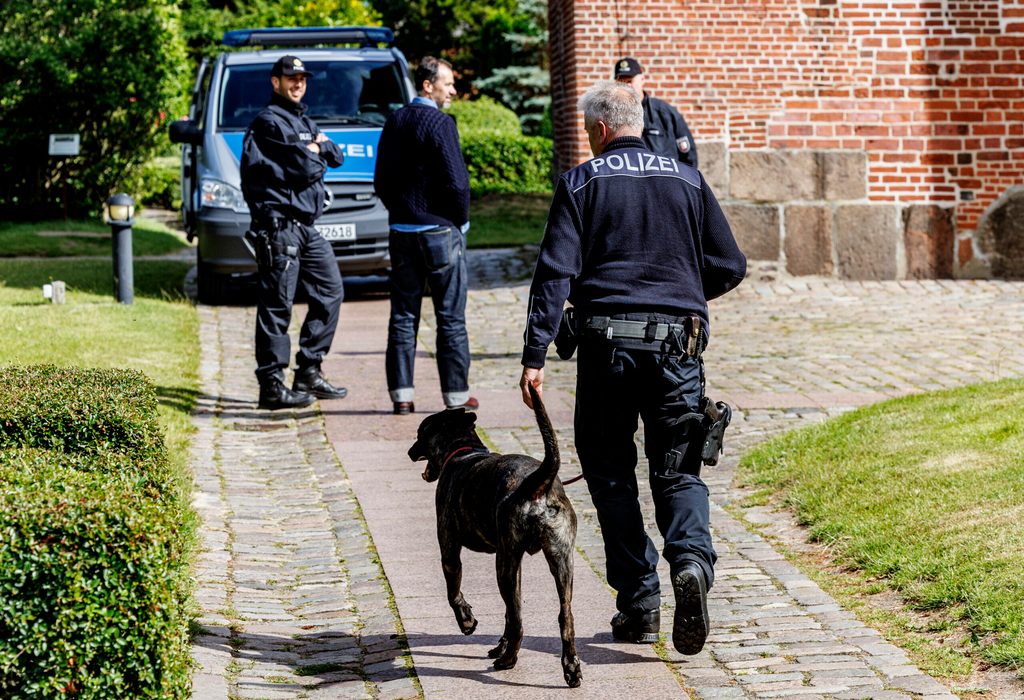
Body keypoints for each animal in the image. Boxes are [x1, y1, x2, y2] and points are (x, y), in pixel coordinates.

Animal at [407, 384, 585, 687]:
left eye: (421, 433)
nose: (409, 451)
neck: (463, 451)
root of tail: (537, 483)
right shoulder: (518, 562)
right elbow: (509, 611)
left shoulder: (449, 549)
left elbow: (453, 593)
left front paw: (467, 621)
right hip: (559, 561)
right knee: (563, 616)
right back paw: (570, 668)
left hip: (504, 565)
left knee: (519, 622)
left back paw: (507, 661)